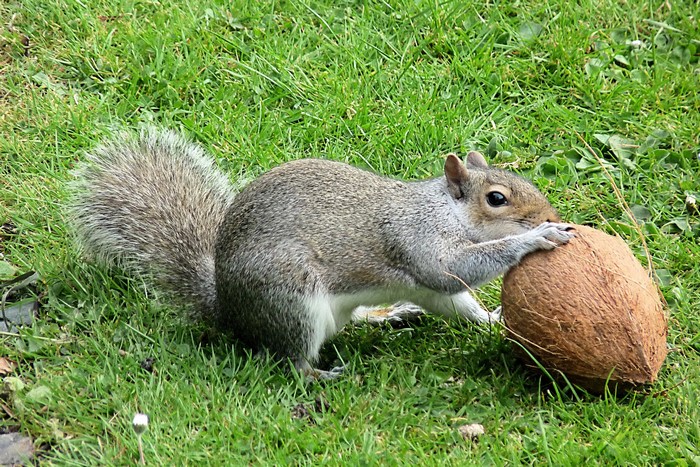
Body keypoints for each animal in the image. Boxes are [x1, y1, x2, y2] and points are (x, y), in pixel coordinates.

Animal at [68, 128, 574, 379]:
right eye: (496, 199)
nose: (550, 212)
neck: (444, 209)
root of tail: (229, 311)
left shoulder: (433, 290)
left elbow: (461, 304)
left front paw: (494, 318)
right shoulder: (418, 241)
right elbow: (453, 270)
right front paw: (536, 237)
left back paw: (388, 314)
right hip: (290, 300)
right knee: (289, 362)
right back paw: (322, 375)